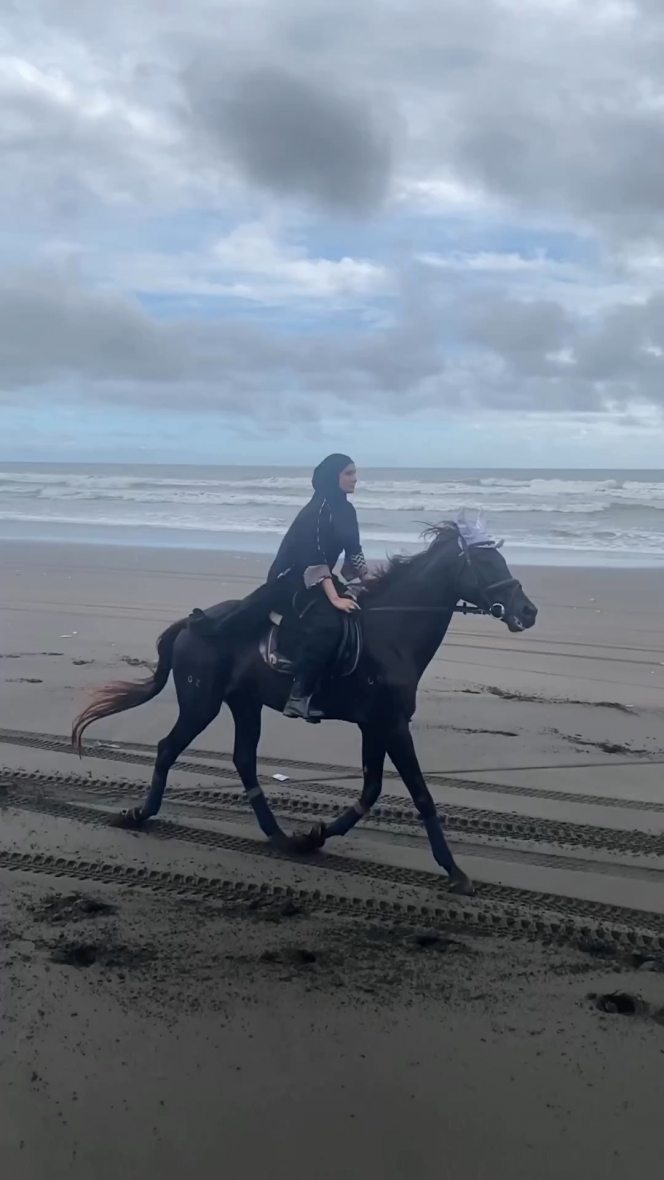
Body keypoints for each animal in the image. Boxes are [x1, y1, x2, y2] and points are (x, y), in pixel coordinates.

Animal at [72, 526, 537, 892]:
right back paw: (140, 813)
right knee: (168, 748)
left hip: (245, 704)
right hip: (201, 703)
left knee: (243, 759)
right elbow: (420, 795)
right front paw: (454, 870)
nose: (529, 611)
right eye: (486, 563)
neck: (391, 632)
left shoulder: (375, 726)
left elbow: (371, 789)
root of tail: (191, 623)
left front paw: (314, 836)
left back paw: (278, 835)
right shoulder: (391, 725)